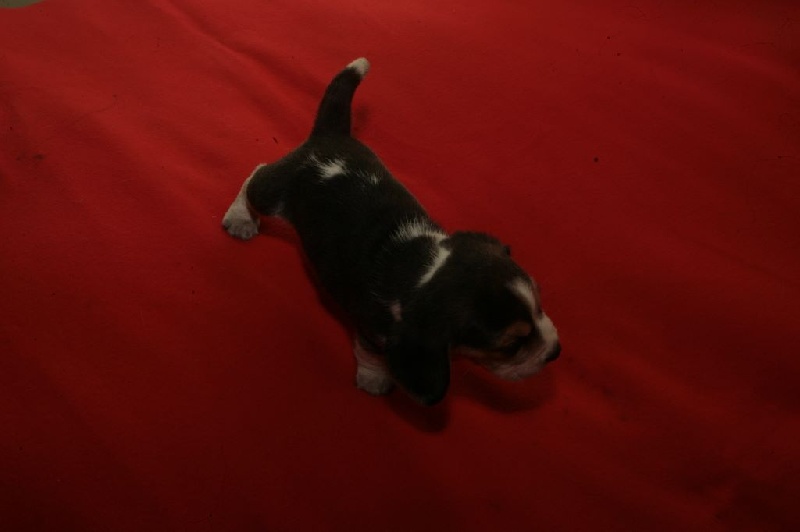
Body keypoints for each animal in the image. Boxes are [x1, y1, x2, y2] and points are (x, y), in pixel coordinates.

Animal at [222, 58, 560, 405]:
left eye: (540, 304)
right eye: (511, 346)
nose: (555, 352)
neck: (426, 269)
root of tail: (329, 137)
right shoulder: (374, 332)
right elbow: (372, 357)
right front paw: (375, 380)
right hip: (275, 193)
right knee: (257, 175)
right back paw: (241, 218)